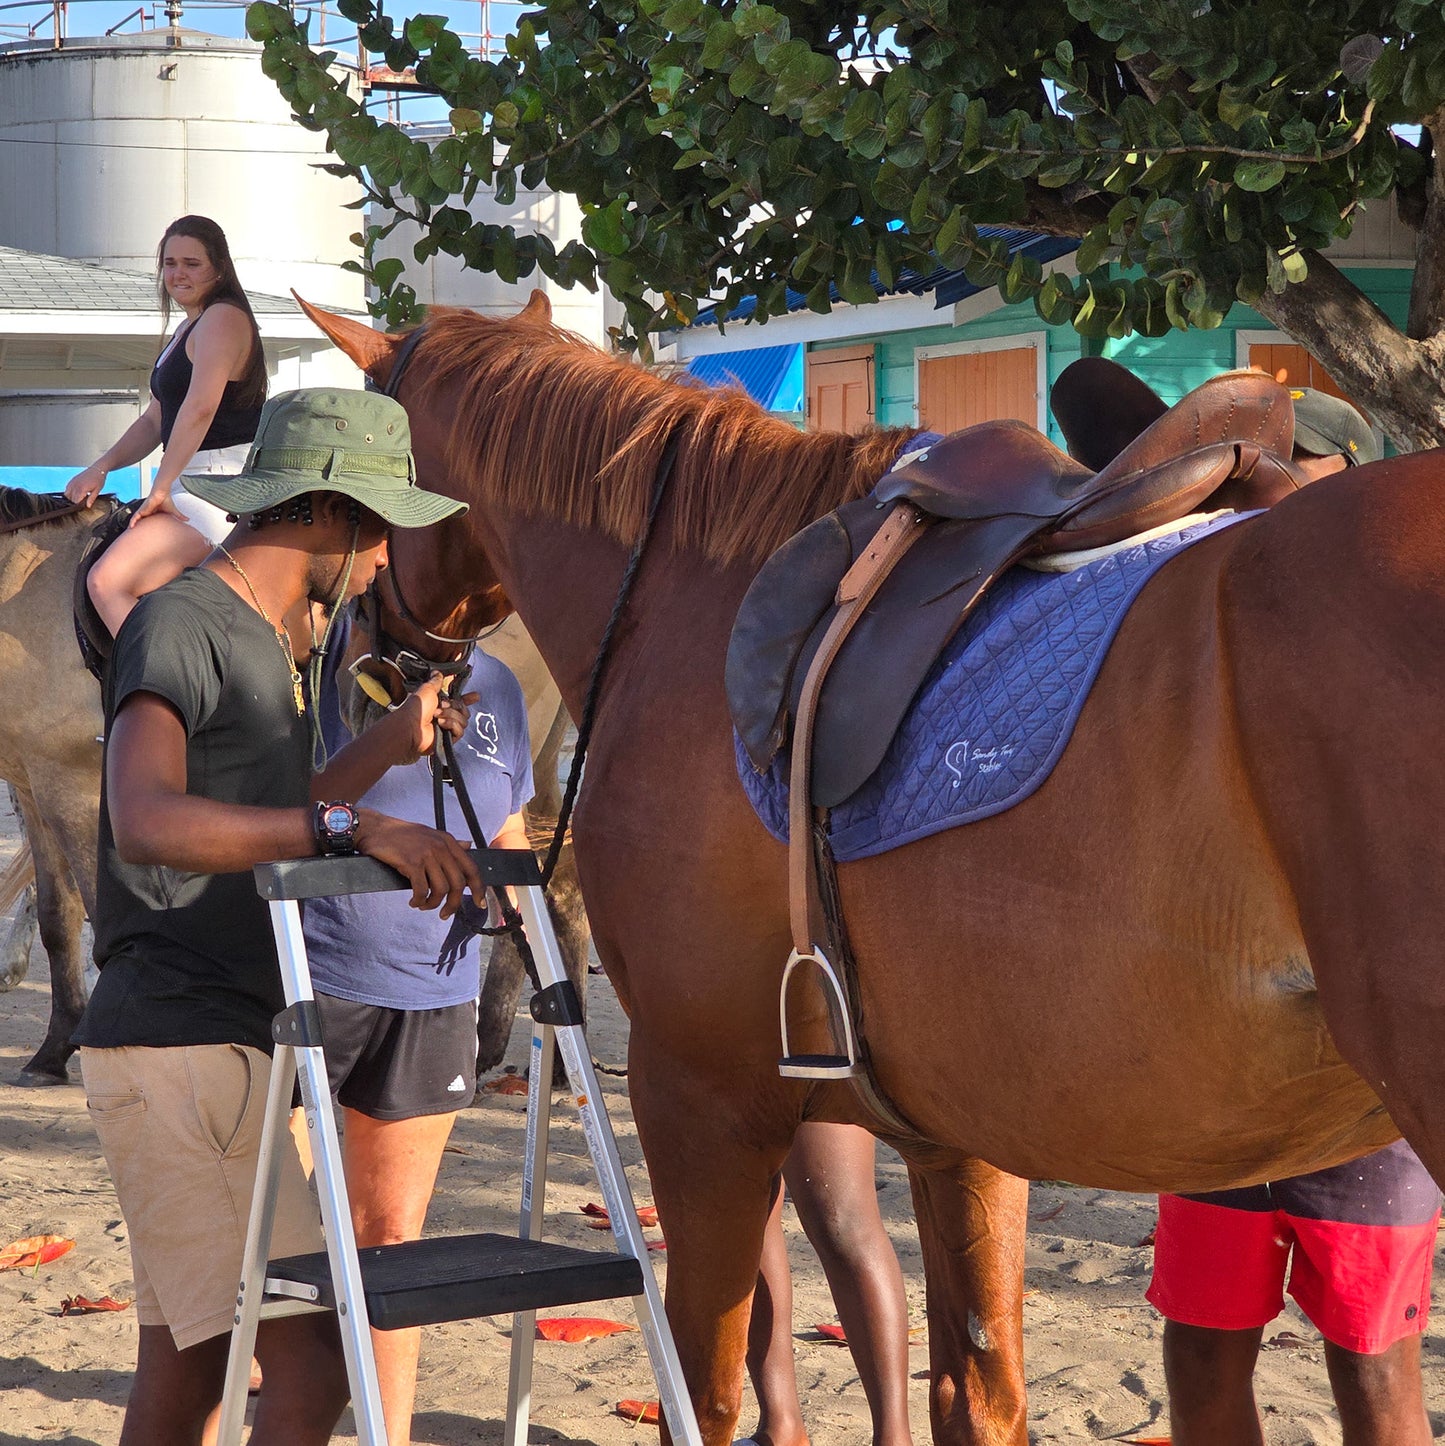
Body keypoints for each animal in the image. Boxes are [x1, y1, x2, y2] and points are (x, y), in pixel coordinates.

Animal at [298, 291, 1445, 1446]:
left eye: (368, 486)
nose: (363, 644)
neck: (691, 601)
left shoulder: (696, 1097)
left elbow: (704, 1391)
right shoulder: (961, 1133)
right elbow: (974, 1395)